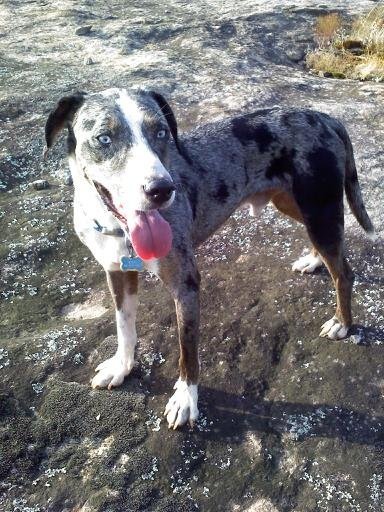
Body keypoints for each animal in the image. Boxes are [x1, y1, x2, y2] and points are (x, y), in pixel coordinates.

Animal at [45, 87, 376, 428]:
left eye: (161, 132)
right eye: (104, 138)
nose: (161, 189)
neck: (118, 228)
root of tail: (326, 117)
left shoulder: (186, 285)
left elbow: (187, 349)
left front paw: (185, 399)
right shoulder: (117, 273)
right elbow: (124, 326)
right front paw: (121, 366)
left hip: (319, 208)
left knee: (343, 272)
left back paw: (342, 322)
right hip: (294, 204)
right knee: (327, 249)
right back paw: (314, 260)